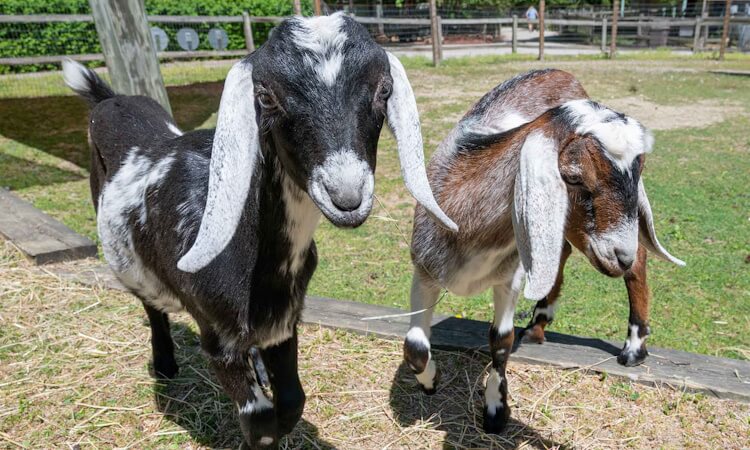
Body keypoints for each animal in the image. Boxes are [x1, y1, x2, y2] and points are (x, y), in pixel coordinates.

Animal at [64, 12, 456, 448]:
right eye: (267, 97)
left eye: (383, 89)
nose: (347, 197)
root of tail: (109, 99)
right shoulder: (217, 339)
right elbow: (260, 419)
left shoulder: (284, 323)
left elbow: (293, 401)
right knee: (151, 304)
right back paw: (165, 365)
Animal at [406, 69, 688, 432]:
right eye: (575, 176)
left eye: (638, 171)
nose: (619, 256)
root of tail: (561, 72)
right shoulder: (424, 270)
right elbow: (415, 346)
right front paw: (430, 382)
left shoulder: (510, 277)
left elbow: (500, 340)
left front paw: (496, 410)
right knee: (563, 253)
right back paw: (539, 323)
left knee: (637, 260)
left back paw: (634, 348)